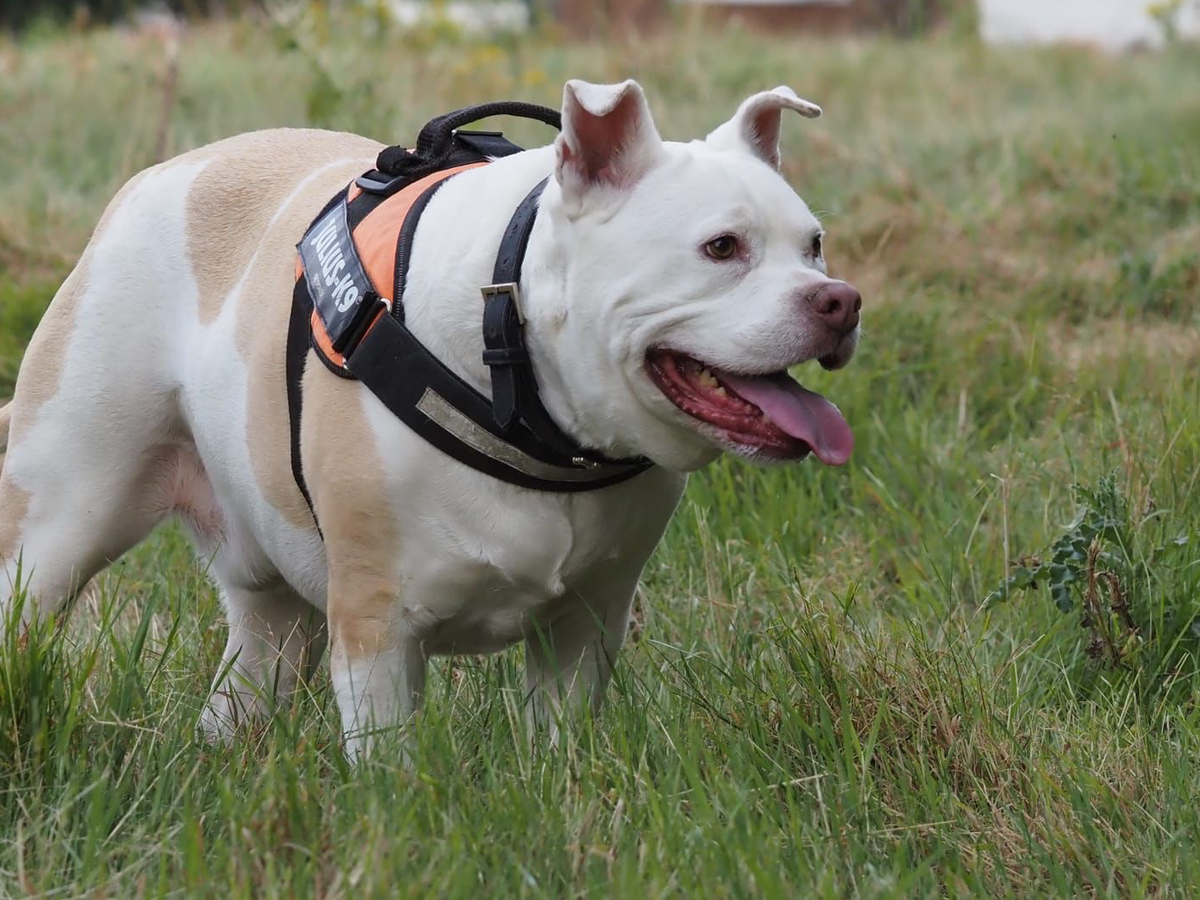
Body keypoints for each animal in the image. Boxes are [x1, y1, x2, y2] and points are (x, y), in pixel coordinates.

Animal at [0, 80, 860, 757]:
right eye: (721, 248)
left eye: (815, 246)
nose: (840, 300)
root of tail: (170, 171)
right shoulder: (377, 629)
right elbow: (390, 764)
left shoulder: (584, 627)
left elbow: (562, 744)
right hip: (61, 523)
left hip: (271, 607)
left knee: (250, 670)